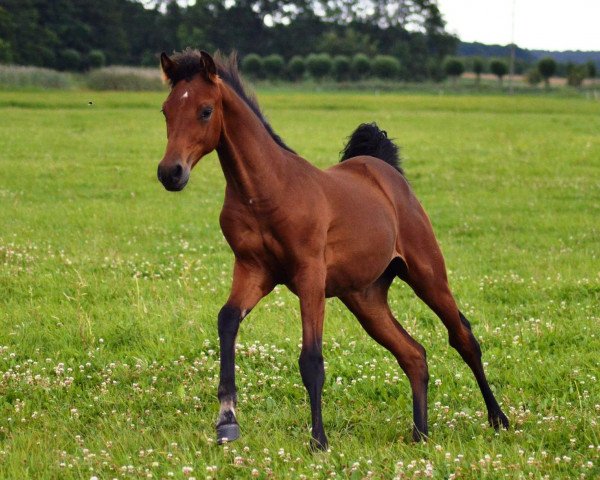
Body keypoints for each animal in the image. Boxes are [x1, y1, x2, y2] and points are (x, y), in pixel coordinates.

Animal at [157, 49, 508, 450]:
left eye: (205, 110)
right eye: (166, 110)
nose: (170, 173)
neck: (266, 192)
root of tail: (385, 171)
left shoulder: (309, 275)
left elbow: (311, 360)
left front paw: (319, 441)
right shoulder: (253, 269)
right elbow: (227, 320)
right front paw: (226, 421)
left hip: (427, 273)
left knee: (463, 338)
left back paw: (498, 419)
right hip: (365, 298)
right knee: (414, 354)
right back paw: (420, 433)